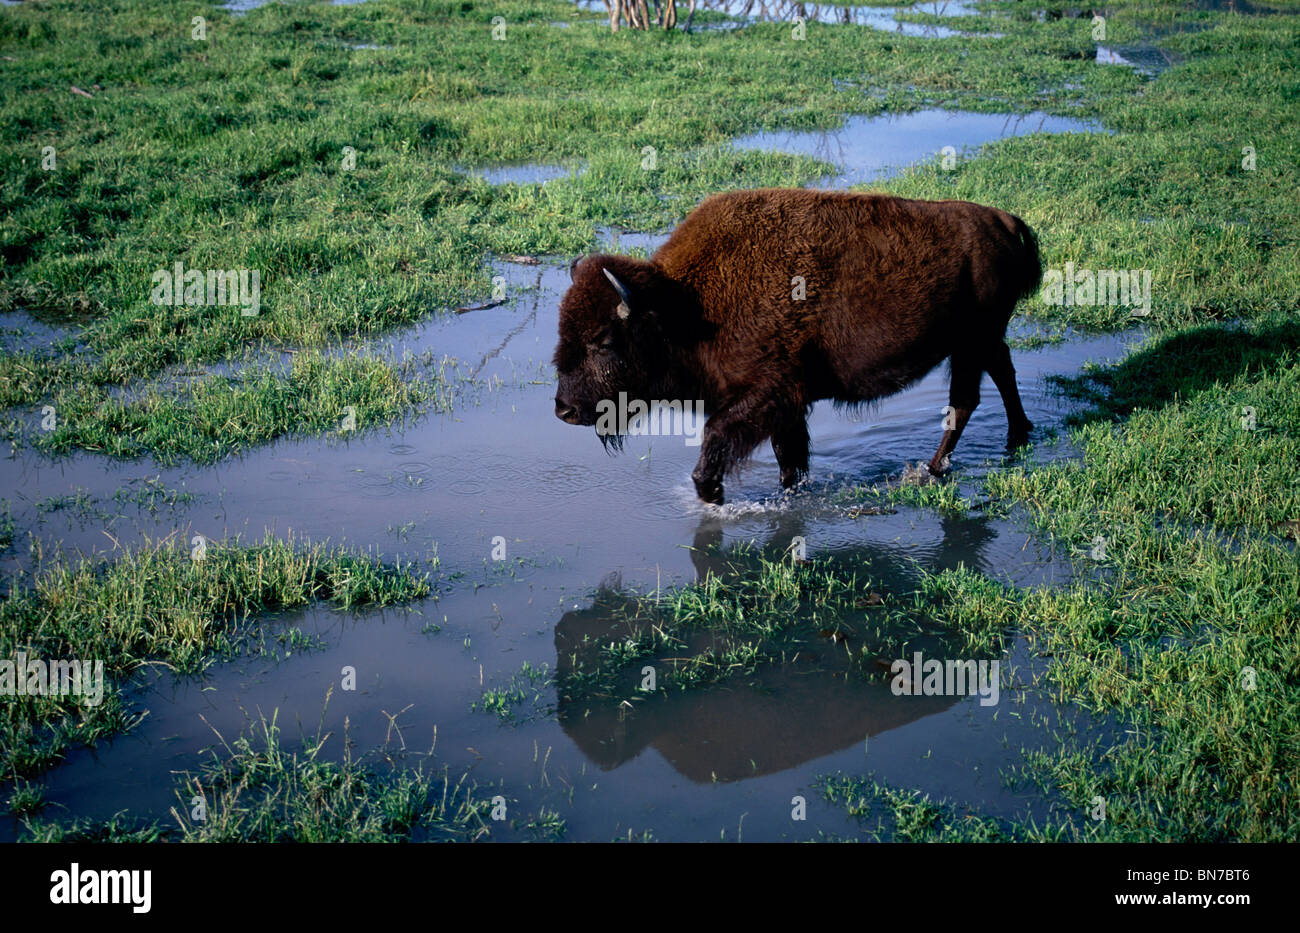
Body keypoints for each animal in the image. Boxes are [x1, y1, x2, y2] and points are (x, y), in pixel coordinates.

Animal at [553, 188, 1040, 504]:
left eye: (604, 341)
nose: (563, 410)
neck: (685, 306)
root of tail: (1002, 220)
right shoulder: (786, 405)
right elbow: (790, 457)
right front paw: (789, 491)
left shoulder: (766, 393)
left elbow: (717, 440)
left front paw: (712, 495)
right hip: (982, 341)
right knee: (1001, 374)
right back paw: (1017, 437)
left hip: (971, 343)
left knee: (964, 401)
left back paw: (933, 469)